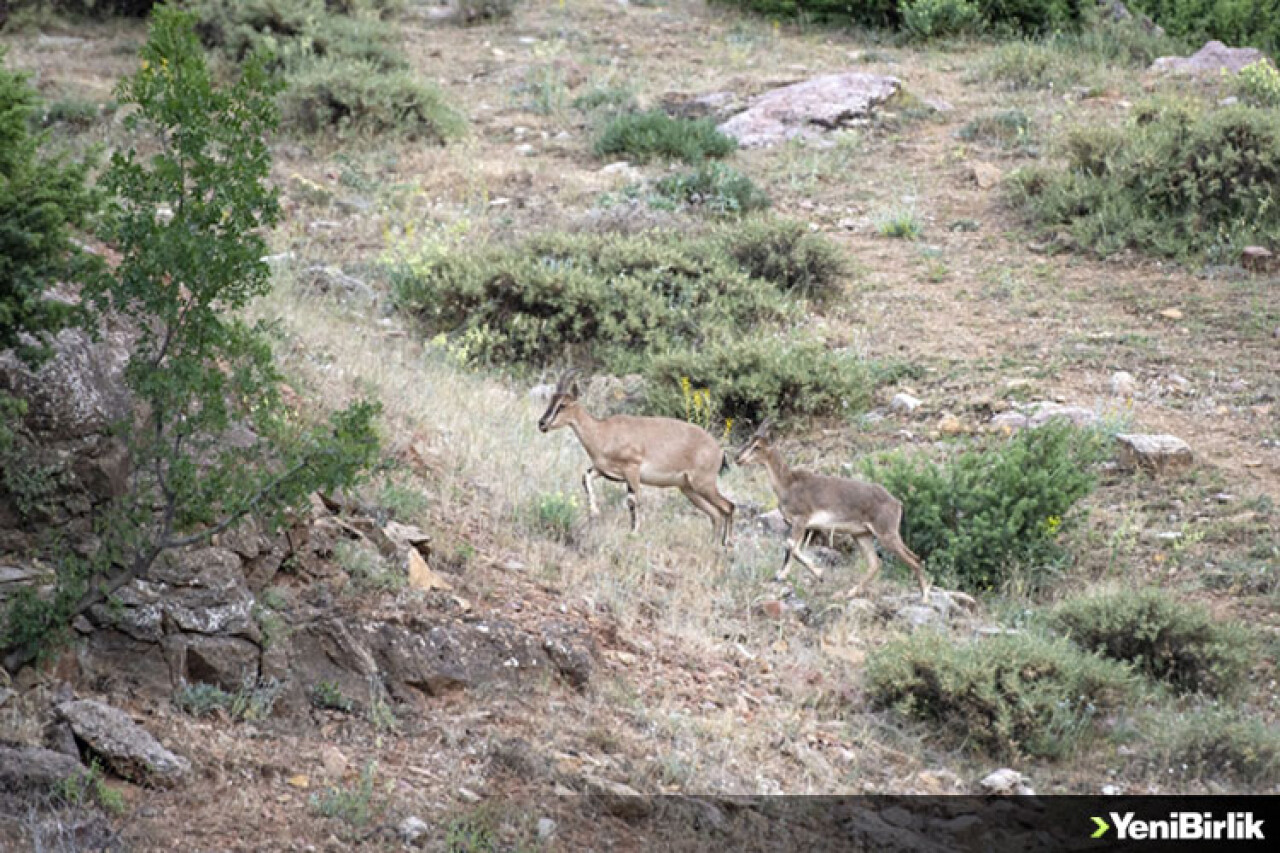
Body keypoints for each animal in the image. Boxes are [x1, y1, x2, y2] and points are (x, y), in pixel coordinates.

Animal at [537, 366, 737, 540]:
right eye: (551, 400)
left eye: (563, 405)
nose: (542, 423)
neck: (604, 432)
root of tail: (719, 451)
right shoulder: (603, 470)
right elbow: (585, 478)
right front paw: (594, 512)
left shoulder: (632, 470)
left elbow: (634, 501)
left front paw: (633, 533)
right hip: (689, 489)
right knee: (716, 514)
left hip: (703, 484)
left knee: (728, 506)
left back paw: (726, 544)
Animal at [742, 417, 931, 596]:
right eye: (749, 441)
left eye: (757, 446)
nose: (739, 458)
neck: (788, 483)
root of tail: (896, 503)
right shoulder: (799, 526)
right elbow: (790, 548)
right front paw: (781, 575)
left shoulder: (801, 521)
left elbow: (791, 547)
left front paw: (818, 574)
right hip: (862, 535)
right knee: (875, 563)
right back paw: (851, 592)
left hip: (886, 535)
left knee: (914, 559)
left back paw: (925, 597)